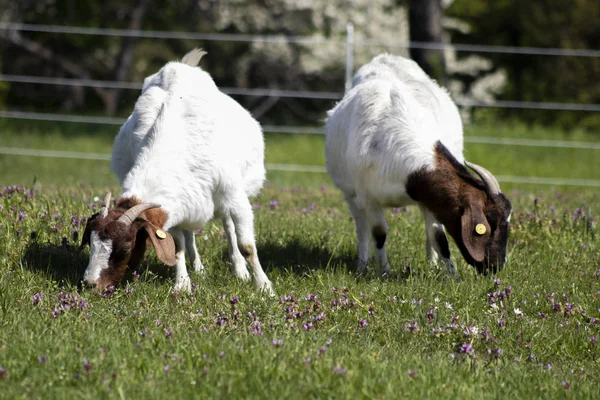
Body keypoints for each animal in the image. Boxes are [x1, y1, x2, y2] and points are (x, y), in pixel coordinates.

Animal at [79, 50, 272, 294]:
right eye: (91, 242)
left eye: (125, 247)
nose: (90, 284)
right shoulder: (175, 204)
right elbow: (177, 246)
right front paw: (183, 286)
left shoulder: (235, 196)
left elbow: (246, 245)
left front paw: (264, 287)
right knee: (190, 234)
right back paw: (199, 268)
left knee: (228, 226)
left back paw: (240, 271)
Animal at [326, 54, 512, 278]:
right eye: (490, 221)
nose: (497, 266)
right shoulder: (369, 197)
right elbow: (378, 233)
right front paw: (384, 272)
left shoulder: (431, 197)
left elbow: (439, 237)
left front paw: (453, 277)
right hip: (350, 194)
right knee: (361, 227)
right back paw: (362, 266)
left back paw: (432, 265)